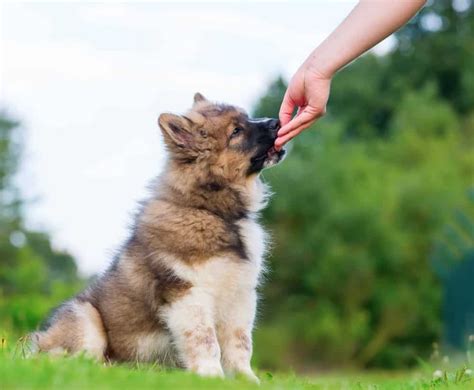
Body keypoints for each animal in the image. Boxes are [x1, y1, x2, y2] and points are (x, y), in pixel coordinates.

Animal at [33, 93, 286, 380]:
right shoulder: (188, 294)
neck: (212, 211)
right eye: (236, 131)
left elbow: (240, 343)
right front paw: (210, 375)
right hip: (85, 318)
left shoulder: (240, 296)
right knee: (69, 359)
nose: (277, 122)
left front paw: (246, 380)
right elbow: (205, 339)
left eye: (246, 118)